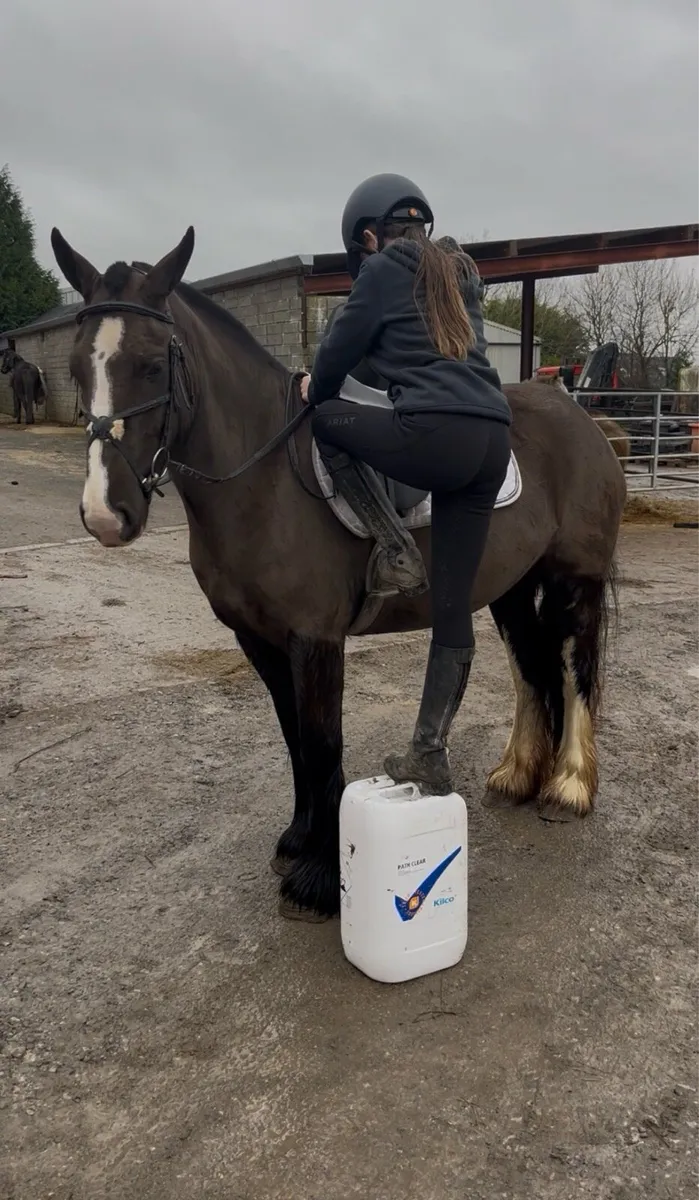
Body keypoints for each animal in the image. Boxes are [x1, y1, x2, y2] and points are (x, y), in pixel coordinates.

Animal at [50, 225, 627, 920]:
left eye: (152, 364)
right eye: (77, 367)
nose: (105, 514)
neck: (263, 479)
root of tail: (584, 420)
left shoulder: (315, 638)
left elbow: (324, 743)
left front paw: (321, 878)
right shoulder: (260, 640)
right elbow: (295, 738)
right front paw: (300, 840)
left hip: (574, 583)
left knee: (573, 667)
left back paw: (569, 786)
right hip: (510, 589)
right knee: (530, 670)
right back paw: (517, 774)